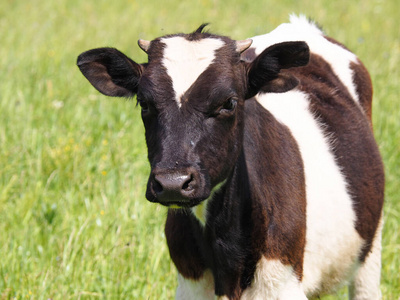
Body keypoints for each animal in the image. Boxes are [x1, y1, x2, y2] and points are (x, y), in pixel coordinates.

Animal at [77, 15, 384, 300]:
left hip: (371, 249)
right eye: (144, 103)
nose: (173, 183)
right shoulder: (189, 285)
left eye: (229, 102)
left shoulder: (282, 284)